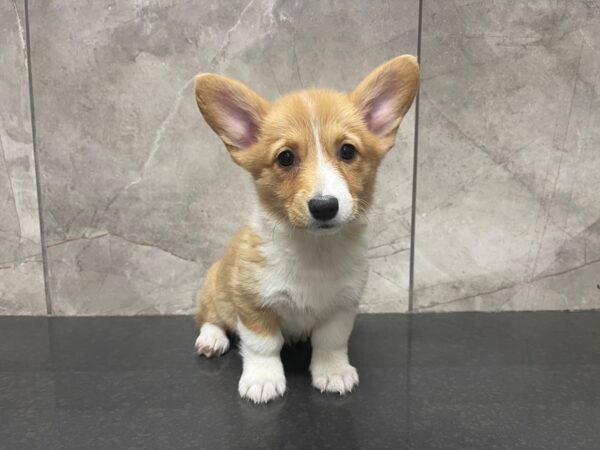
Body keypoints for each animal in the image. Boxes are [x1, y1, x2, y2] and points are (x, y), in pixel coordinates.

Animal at [192, 55, 418, 404]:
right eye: (286, 157)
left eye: (348, 151)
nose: (324, 206)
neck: (314, 249)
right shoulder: (252, 303)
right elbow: (262, 345)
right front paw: (262, 379)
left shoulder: (341, 306)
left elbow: (331, 342)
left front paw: (333, 372)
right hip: (215, 289)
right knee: (209, 318)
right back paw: (212, 339)